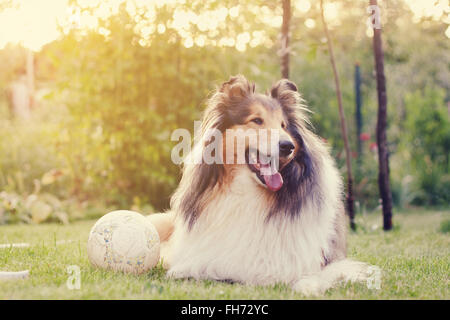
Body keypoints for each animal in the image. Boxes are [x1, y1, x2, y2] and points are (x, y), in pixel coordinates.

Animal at [149, 75, 370, 296]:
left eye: (283, 125)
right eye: (257, 120)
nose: (287, 146)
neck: (249, 193)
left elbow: (311, 277)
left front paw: (307, 286)